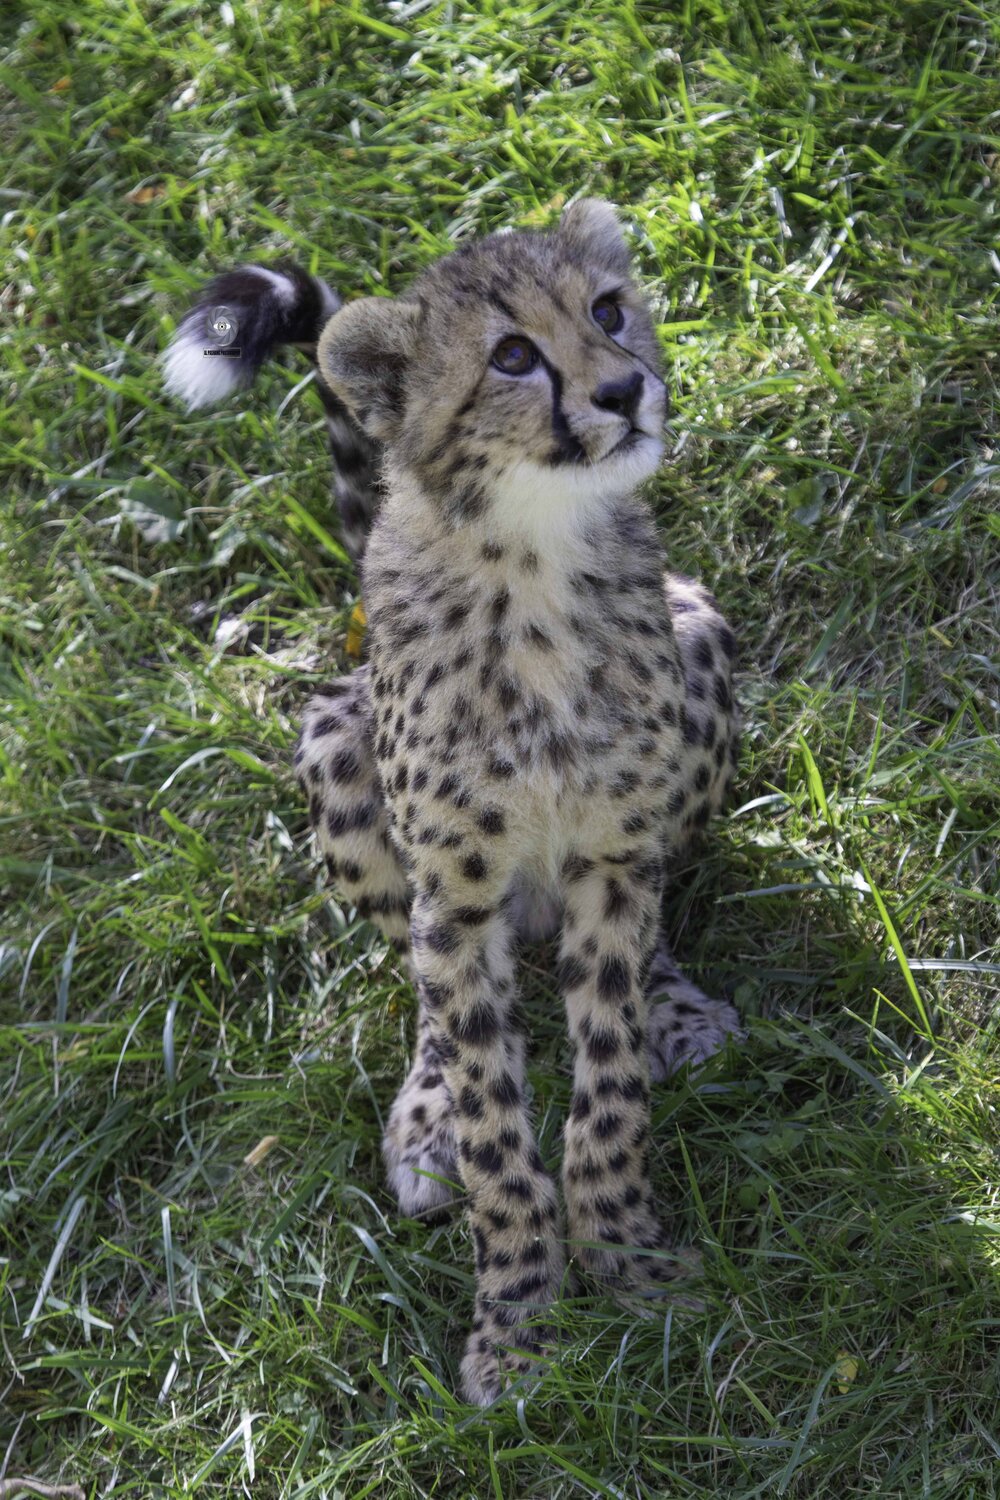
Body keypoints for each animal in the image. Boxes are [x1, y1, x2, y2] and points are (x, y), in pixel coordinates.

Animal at [164, 199, 743, 1405]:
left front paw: (627, 1258)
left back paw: (675, 1005)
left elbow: (608, 1089)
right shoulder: (460, 896)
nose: (626, 389)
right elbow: (494, 1126)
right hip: (340, 759)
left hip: (702, 638)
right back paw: (425, 1113)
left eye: (608, 310)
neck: (536, 555)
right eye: (511, 357)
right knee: (424, 996)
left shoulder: (608, 860)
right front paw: (517, 1320)